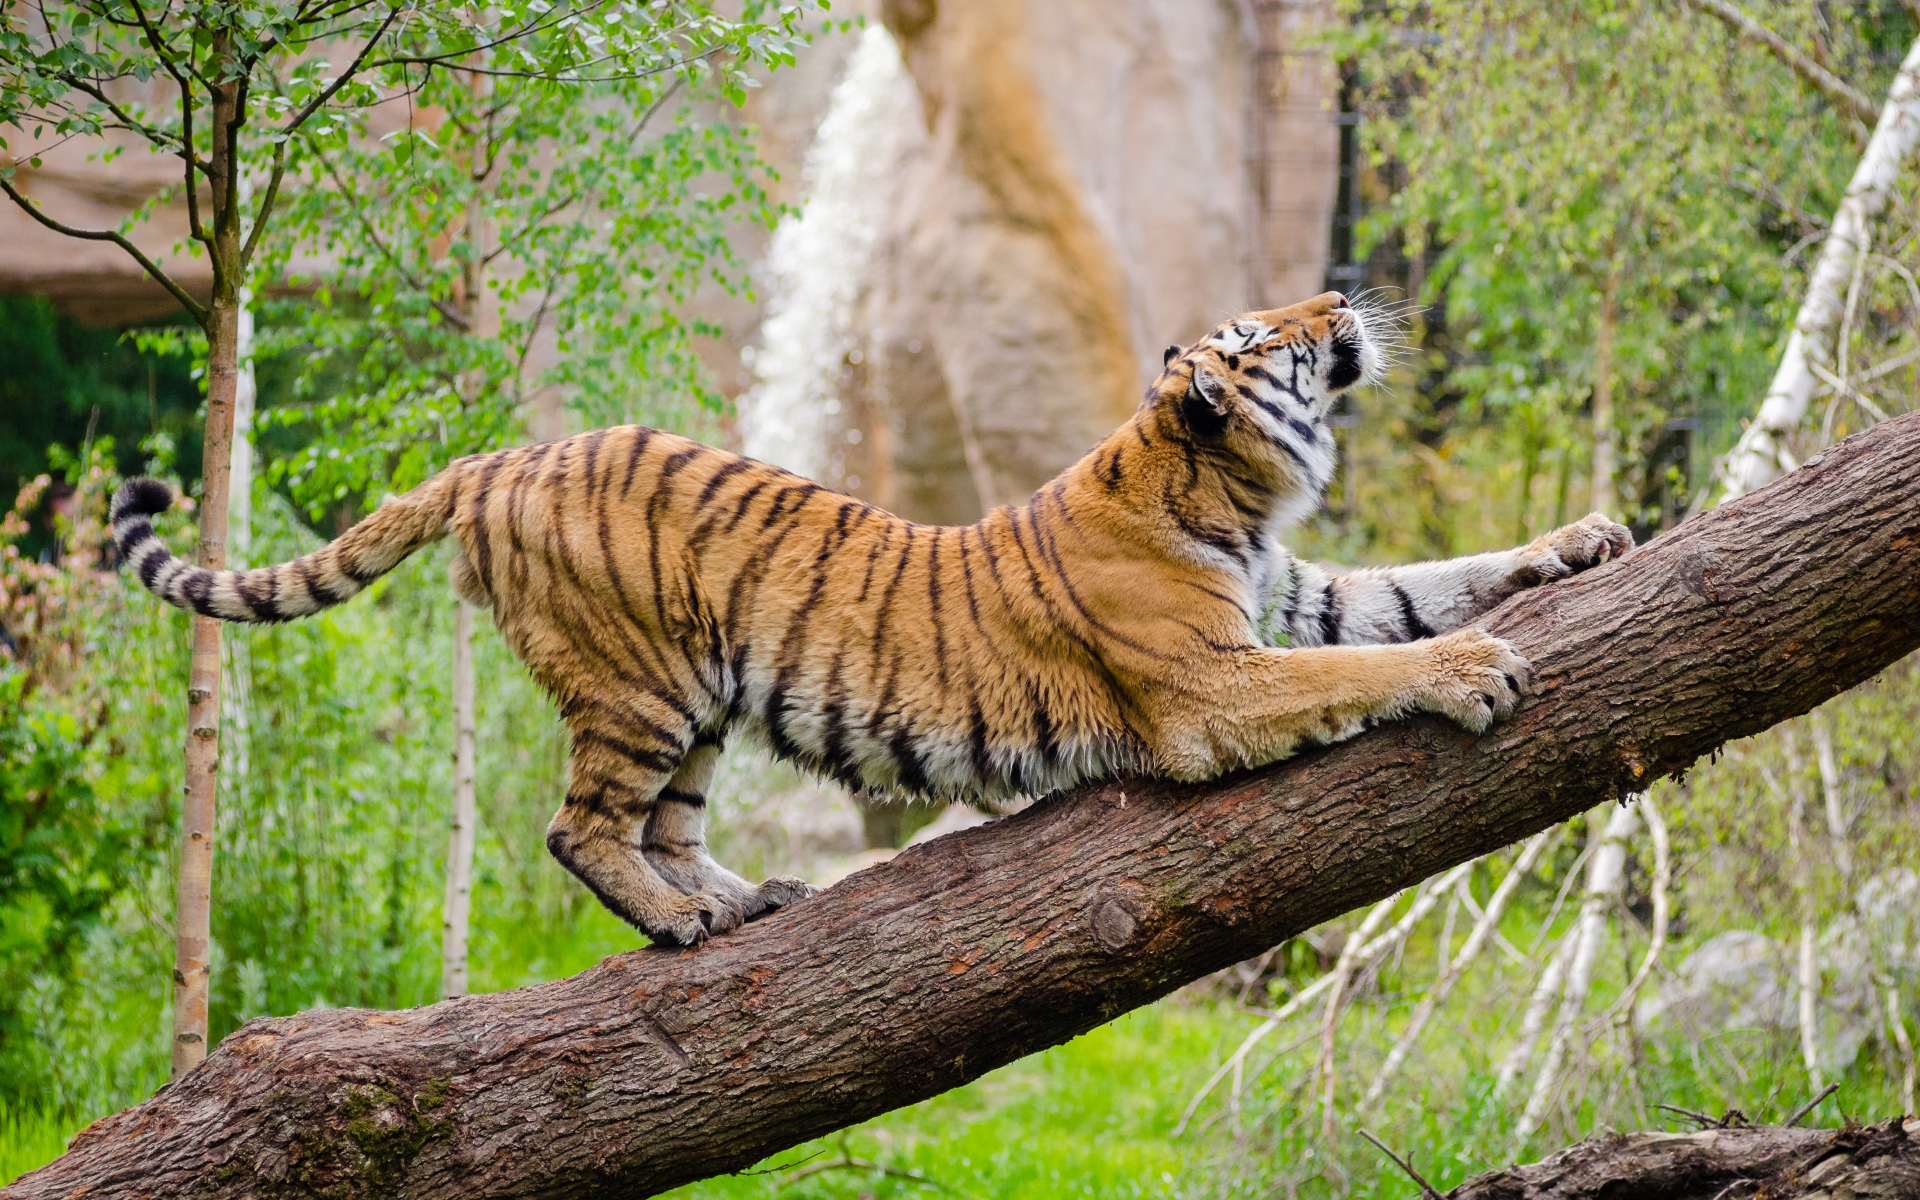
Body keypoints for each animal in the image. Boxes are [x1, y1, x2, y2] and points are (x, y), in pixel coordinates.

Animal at [111, 290, 1632, 948]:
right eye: (1271, 338)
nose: (1342, 296)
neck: (1233, 491)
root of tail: (501, 457)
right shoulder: (1210, 688)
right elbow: (1391, 651)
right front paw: (1478, 669)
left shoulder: (1295, 599)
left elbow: (1422, 581)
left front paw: (1581, 539)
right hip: (642, 686)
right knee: (579, 827)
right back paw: (678, 926)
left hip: (705, 704)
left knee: (669, 825)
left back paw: (737, 900)